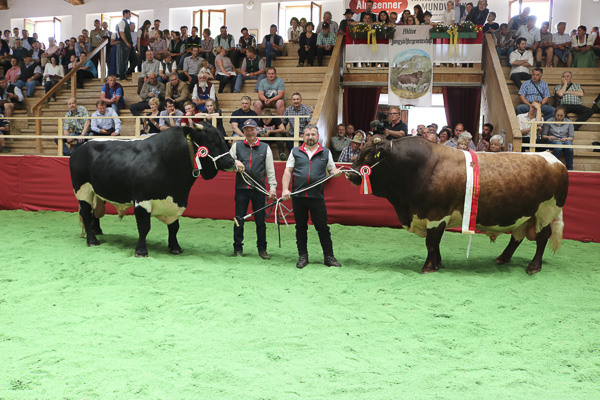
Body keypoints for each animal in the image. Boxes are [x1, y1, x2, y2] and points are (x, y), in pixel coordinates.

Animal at [67, 124, 232, 256]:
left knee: (95, 213)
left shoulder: (174, 202)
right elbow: (144, 226)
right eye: (211, 140)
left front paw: (175, 247)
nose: (231, 162)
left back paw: (97, 231)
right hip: (83, 191)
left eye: (223, 139)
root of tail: (81, 147)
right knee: (86, 214)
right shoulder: (142, 199)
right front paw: (141, 251)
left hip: (97, 192)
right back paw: (92, 240)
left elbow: (174, 227)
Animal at [346, 135, 568, 276]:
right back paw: (503, 258)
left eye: (368, 155)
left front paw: (428, 267)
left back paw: (534, 266)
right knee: (517, 237)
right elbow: (435, 244)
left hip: (545, 212)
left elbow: (431, 242)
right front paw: (438, 263)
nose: (349, 174)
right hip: (525, 215)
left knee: (542, 237)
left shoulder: (435, 215)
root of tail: (553, 158)